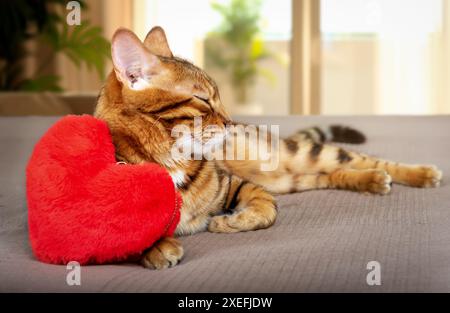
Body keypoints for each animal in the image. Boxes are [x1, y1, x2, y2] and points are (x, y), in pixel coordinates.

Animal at [95, 27, 442, 268]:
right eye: (203, 99)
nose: (230, 122)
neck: (173, 159)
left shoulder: (236, 185)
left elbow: (266, 210)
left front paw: (229, 222)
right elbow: (128, 232)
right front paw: (159, 246)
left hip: (300, 155)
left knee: (365, 160)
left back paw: (420, 173)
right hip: (291, 180)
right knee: (331, 175)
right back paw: (371, 180)